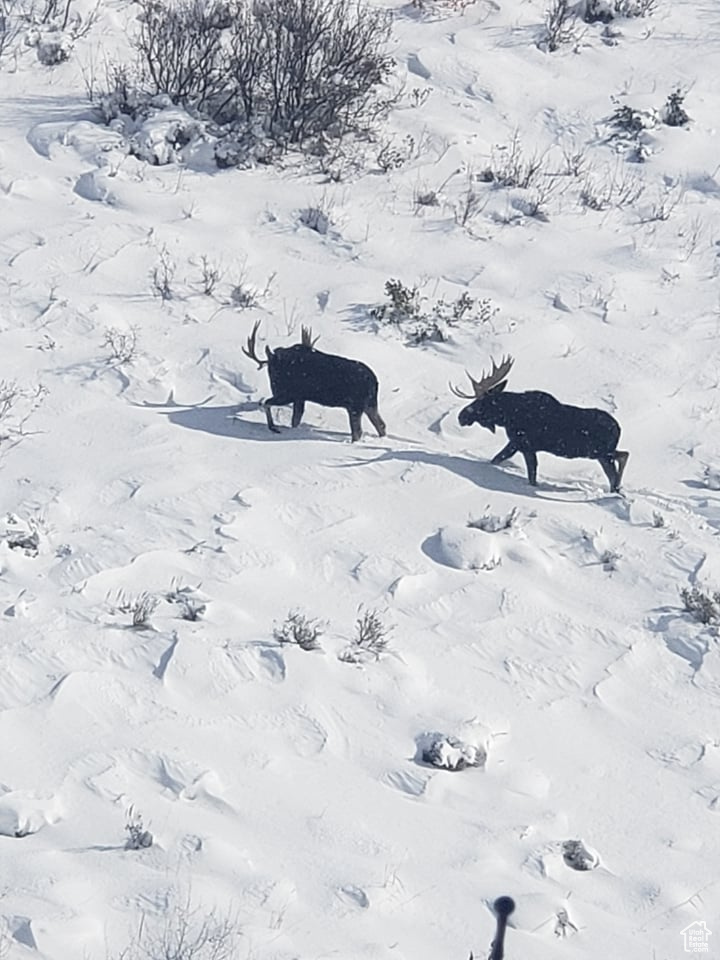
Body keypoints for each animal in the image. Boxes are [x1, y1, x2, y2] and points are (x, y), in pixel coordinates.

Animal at [242, 322, 386, 442]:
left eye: (273, 370)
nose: (274, 386)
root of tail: (374, 382)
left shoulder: (289, 394)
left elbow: (267, 403)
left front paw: (273, 427)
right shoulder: (300, 397)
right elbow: (295, 420)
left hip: (355, 405)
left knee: (358, 431)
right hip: (370, 404)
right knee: (381, 425)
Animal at [452, 358, 628, 496]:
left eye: (481, 402)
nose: (461, 416)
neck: (508, 416)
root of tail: (619, 428)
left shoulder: (523, 444)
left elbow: (528, 474)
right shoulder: (518, 444)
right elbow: (498, 459)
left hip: (601, 453)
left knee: (620, 462)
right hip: (600, 454)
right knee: (620, 461)